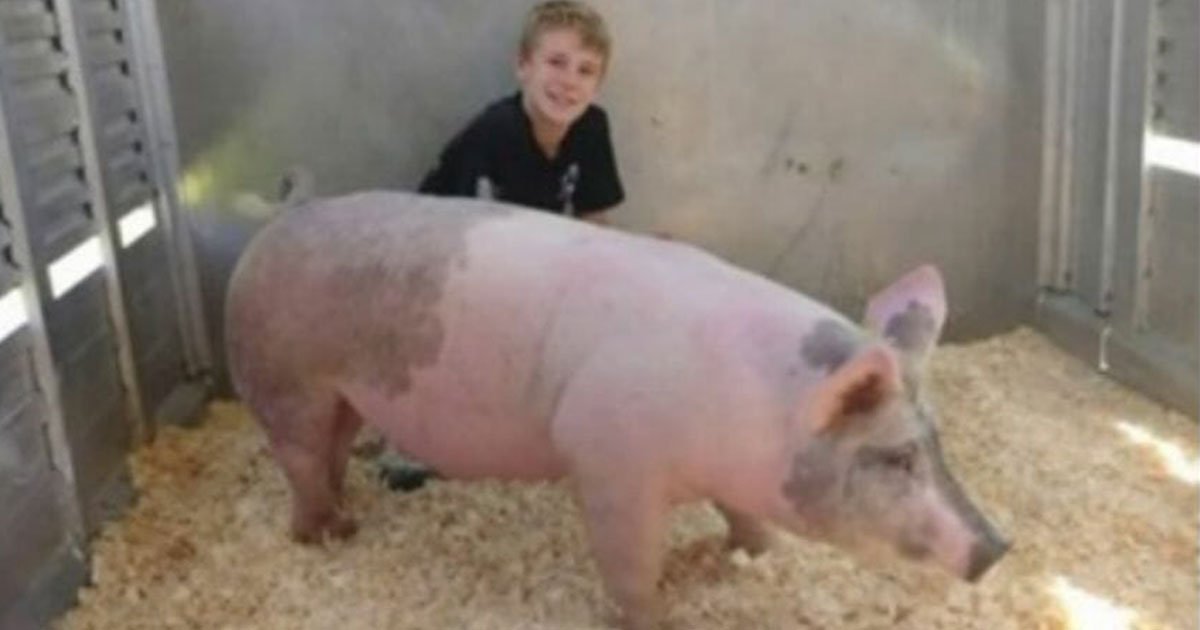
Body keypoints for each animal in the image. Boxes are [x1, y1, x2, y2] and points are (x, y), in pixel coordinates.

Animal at [223, 189, 1003, 624]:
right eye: (896, 457)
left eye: (937, 441)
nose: (999, 547)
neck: (748, 409)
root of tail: (270, 231)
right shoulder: (608, 460)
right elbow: (630, 560)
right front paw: (658, 618)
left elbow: (742, 516)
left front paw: (757, 554)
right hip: (283, 374)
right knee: (298, 456)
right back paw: (328, 536)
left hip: (341, 393)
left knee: (331, 446)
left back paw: (346, 515)